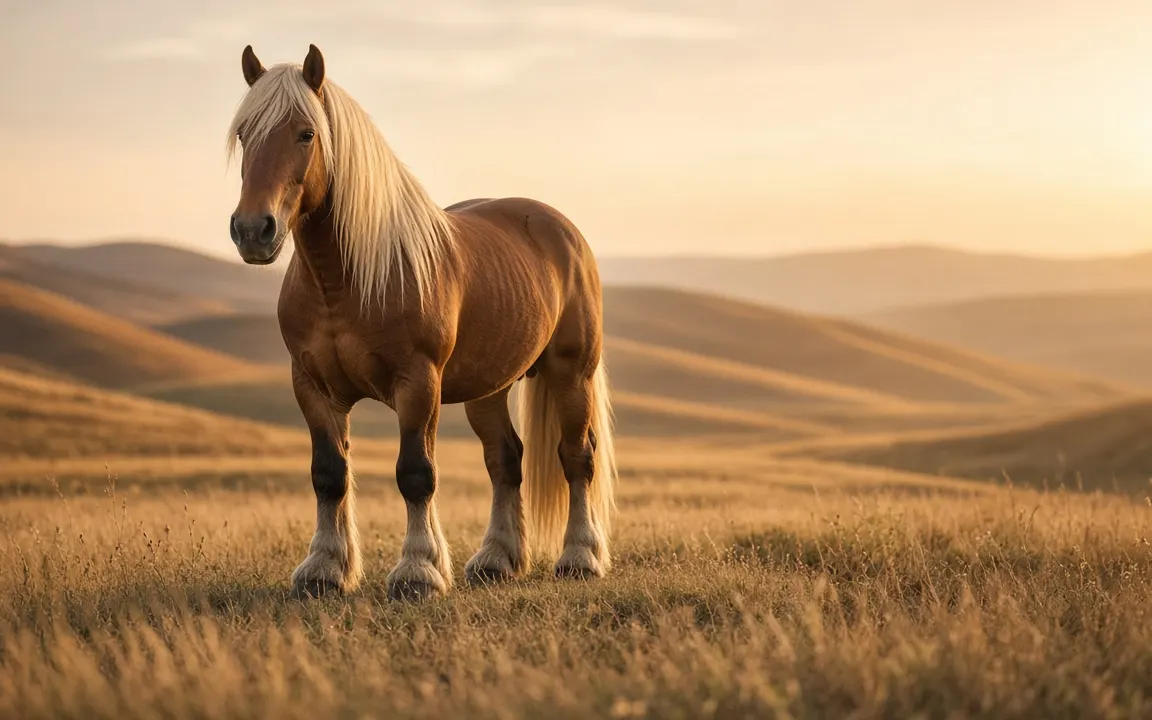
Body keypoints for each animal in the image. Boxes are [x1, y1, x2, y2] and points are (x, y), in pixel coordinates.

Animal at [225, 44, 617, 601]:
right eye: (244, 133)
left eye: (305, 133)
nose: (253, 230)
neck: (345, 280)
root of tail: (561, 229)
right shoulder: (313, 386)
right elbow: (329, 474)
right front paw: (325, 569)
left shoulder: (417, 383)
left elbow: (416, 473)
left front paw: (417, 571)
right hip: (487, 388)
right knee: (505, 459)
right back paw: (497, 559)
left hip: (571, 373)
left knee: (576, 456)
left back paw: (580, 557)